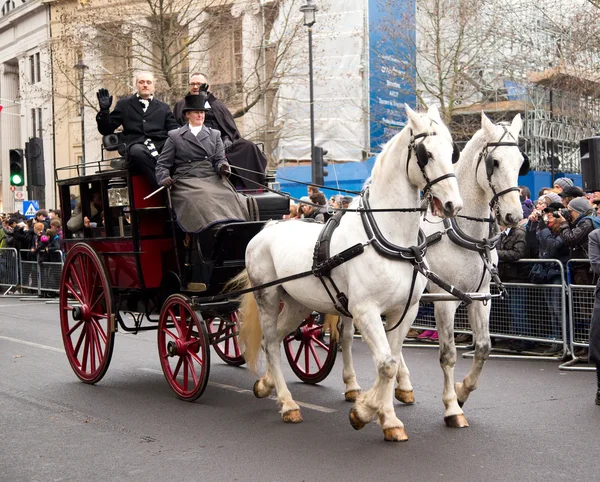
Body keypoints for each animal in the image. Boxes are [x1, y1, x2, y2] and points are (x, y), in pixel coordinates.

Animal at [234, 104, 464, 440]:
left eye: (453, 151)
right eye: (426, 154)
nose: (452, 205)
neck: (392, 238)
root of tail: (268, 227)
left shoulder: (404, 310)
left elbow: (392, 360)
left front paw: (384, 416)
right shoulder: (364, 310)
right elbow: (387, 364)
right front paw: (367, 412)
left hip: (297, 304)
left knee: (273, 339)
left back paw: (267, 386)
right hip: (267, 297)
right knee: (271, 344)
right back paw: (288, 404)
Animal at [340, 113, 528, 430]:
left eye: (521, 161)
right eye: (495, 162)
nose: (513, 216)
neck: (463, 232)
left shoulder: (480, 297)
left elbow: (484, 347)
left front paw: (463, 391)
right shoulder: (445, 299)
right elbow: (448, 355)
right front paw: (452, 406)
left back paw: (402, 386)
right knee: (345, 335)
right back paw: (353, 386)